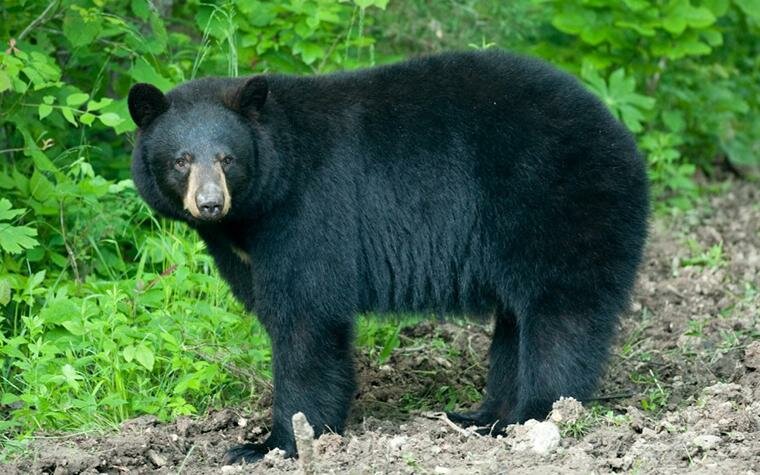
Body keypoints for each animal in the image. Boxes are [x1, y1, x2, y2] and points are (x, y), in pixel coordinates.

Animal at [127, 50, 649, 464]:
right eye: (181, 160)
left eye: (227, 158)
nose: (210, 203)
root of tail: (620, 133)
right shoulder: (247, 247)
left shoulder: (308, 214)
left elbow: (305, 320)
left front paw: (273, 444)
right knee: (515, 323)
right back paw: (484, 418)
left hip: (558, 205)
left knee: (561, 317)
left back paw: (537, 417)